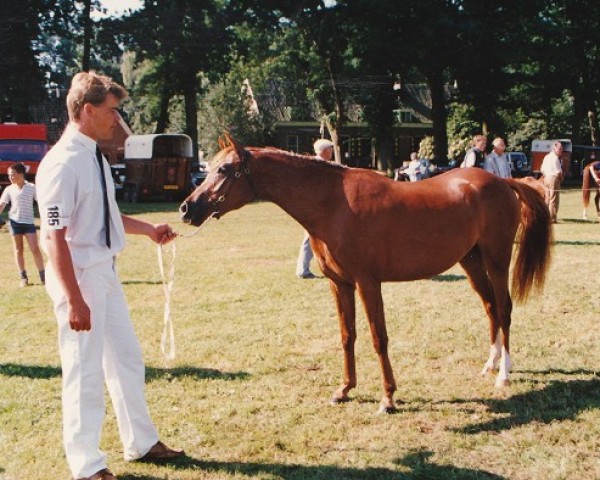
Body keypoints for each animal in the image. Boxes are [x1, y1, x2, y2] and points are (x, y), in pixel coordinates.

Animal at [179, 140, 552, 412]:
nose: (187, 208)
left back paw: (503, 375)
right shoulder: (340, 284)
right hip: (471, 261)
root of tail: (503, 181)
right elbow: (348, 336)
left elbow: (377, 337)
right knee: (490, 307)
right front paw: (344, 389)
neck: (333, 204)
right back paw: (490, 365)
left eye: (224, 169)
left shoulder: (368, 283)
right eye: (210, 166)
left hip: (497, 259)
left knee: (504, 309)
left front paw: (388, 397)